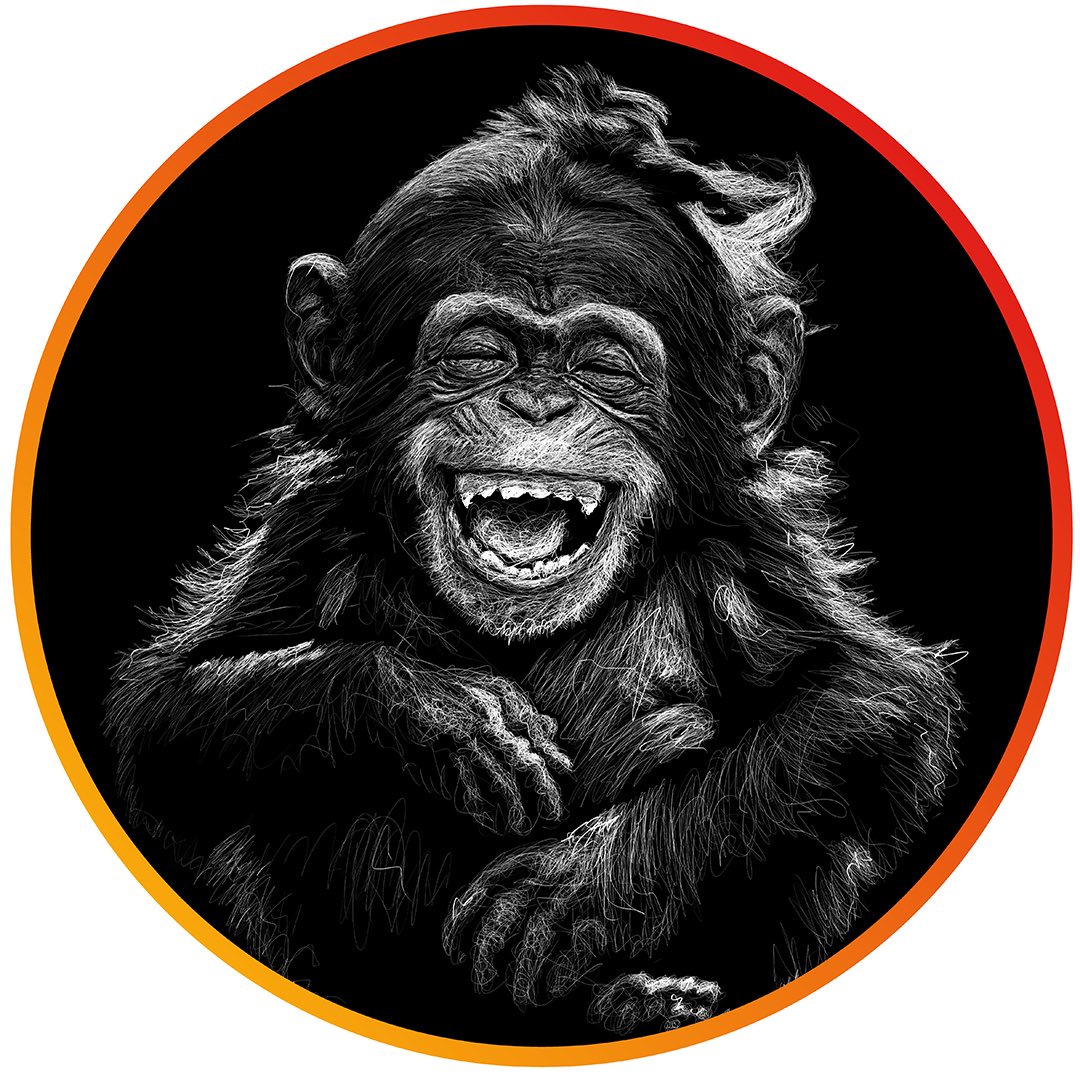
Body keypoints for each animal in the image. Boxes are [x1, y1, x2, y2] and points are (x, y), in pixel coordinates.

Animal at [105, 65, 960, 1042]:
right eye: (479, 355)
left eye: (603, 367)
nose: (538, 405)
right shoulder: (309, 525)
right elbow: (166, 715)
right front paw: (441, 714)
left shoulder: (751, 548)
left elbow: (868, 695)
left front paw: (581, 883)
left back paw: (640, 998)